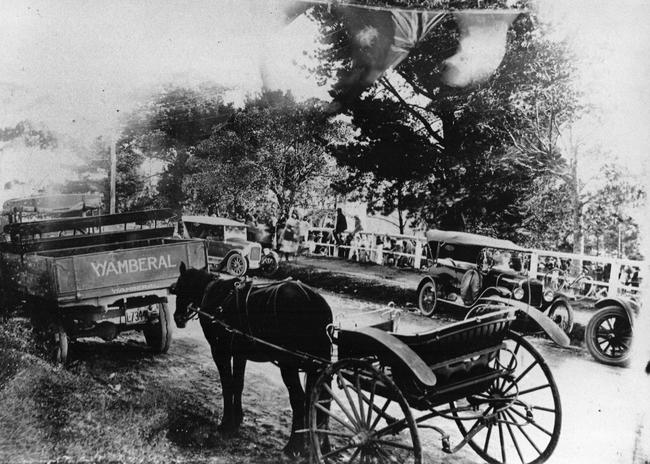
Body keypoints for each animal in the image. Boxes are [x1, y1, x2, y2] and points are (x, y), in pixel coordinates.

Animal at [171, 262, 332, 454]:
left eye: (180, 287)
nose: (177, 318)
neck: (214, 295)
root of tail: (312, 299)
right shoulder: (240, 354)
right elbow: (238, 384)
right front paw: (237, 419)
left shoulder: (220, 351)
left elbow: (227, 384)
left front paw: (226, 423)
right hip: (315, 365)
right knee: (321, 400)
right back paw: (322, 445)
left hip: (288, 364)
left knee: (299, 399)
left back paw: (294, 445)